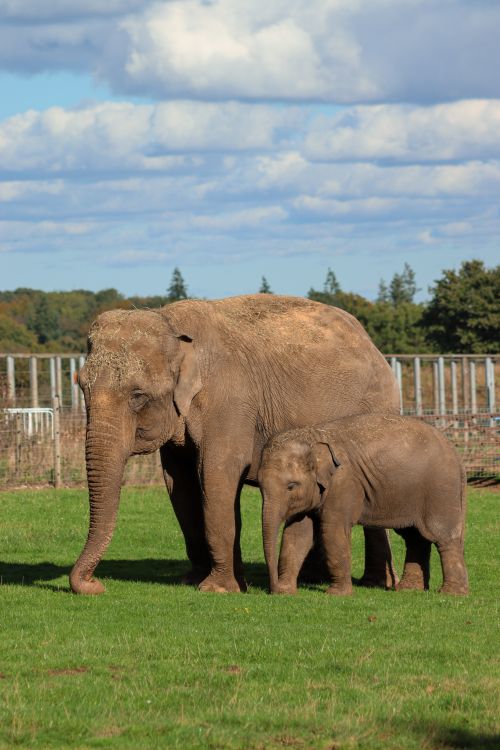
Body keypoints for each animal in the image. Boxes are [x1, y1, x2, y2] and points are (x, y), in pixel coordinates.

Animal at [70, 294, 401, 596]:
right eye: (81, 386)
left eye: (138, 395)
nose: (95, 585)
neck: (171, 323)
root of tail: (372, 345)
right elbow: (180, 484)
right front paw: (193, 581)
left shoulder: (230, 402)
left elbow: (217, 475)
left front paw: (217, 589)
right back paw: (313, 579)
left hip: (377, 408)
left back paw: (375, 583)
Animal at [259, 414, 469, 596]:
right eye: (260, 487)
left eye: (291, 486)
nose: (272, 590)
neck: (313, 435)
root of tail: (457, 455)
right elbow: (297, 533)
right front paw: (286, 592)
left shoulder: (344, 483)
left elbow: (333, 530)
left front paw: (336, 594)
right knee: (415, 537)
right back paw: (408, 590)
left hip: (440, 490)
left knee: (443, 536)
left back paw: (452, 593)